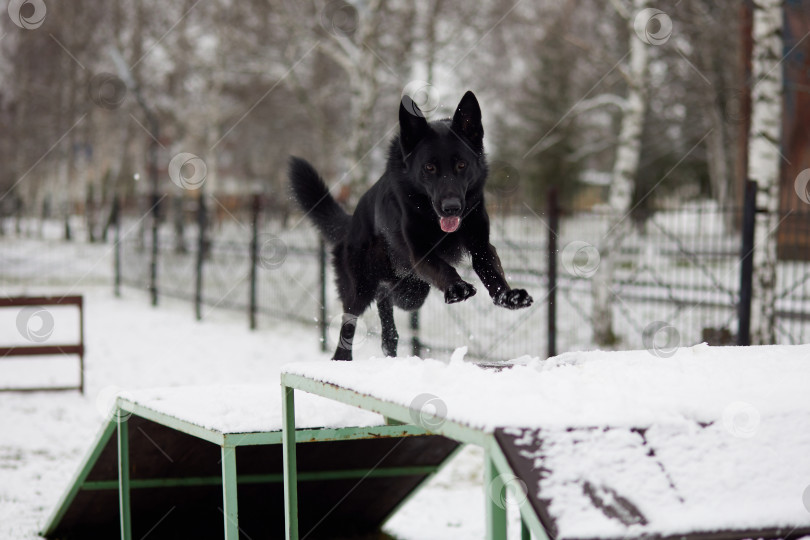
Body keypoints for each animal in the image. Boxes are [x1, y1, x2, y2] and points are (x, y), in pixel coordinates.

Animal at [288, 90, 532, 360]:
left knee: (387, 303)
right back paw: (342, 358)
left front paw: (507, 296)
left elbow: (491, 270)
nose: (452, 208)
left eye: (461, 165)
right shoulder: (420, 252)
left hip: (411, 293)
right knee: (351, 320)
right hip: (362, 288)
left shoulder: (481, 245)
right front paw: (457, 287)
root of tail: (351, 223)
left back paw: (388, 342)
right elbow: (444, 267)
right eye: (429, 167)